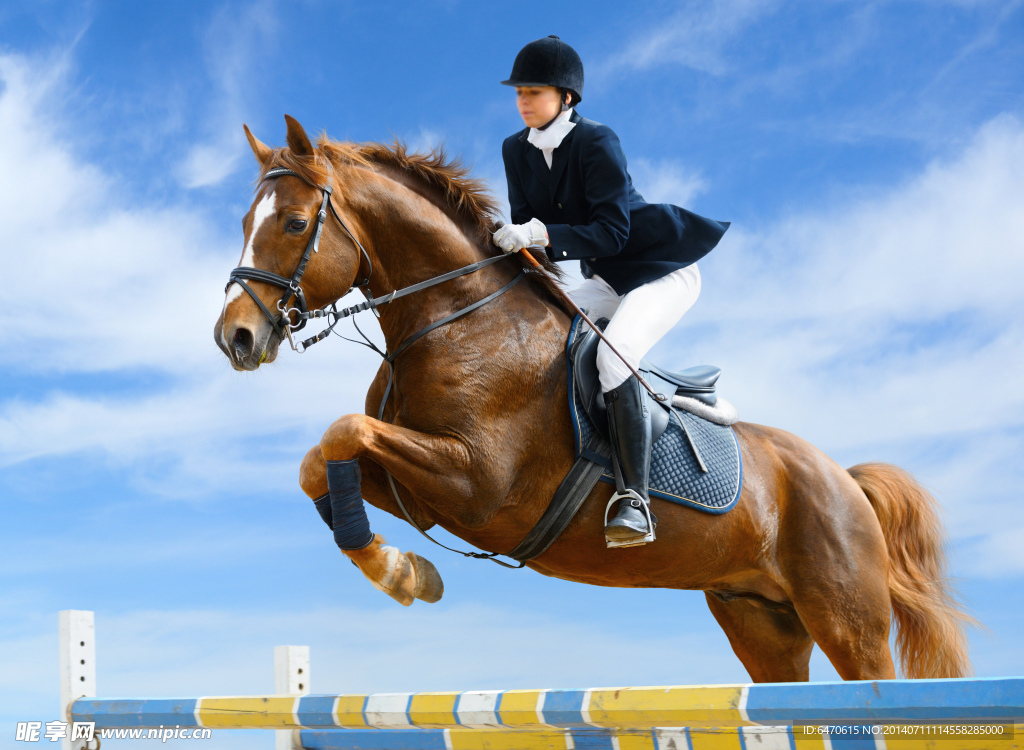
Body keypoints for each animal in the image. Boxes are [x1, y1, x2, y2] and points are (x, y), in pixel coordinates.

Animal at [213, 115, 973, 683]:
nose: (235, 338)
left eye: (292, 224)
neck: (456, 316)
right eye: (246, 221)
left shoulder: (478, 484)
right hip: (761, 622)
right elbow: (320, 459)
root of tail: (844, 479)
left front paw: (402, 575)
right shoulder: (421, 489)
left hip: (848, 621)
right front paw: (405, 572)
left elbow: (342, 432)